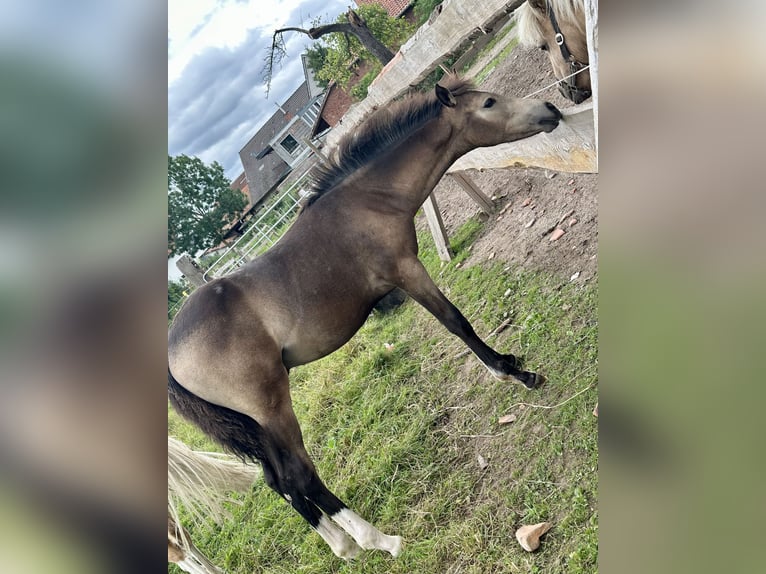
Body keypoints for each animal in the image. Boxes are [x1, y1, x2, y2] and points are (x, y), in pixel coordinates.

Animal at [170, 75, 564, 564]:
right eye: (490, 103)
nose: (551, 109)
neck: (366, 199)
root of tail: (169, 352)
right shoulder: (407, 270)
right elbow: (456, 322)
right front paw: (513, 372)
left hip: (258, 425)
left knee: (280, 482)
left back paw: (343, 545)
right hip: (273, 408)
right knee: (299, 476)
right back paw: (381, 541)